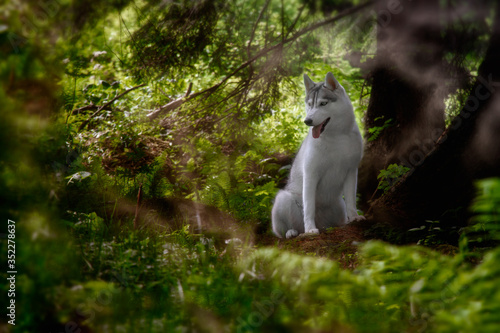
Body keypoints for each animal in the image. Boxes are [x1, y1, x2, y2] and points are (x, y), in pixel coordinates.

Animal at [274, 71, 364, 237]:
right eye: (310, 104)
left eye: (323, 104)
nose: (307, 121)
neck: (336, 136)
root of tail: (323, 225)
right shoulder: (311, 174)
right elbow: (309, 206)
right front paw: (310, 229)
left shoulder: (351, 171)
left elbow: (351, 200)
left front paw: (354, 217)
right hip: (283, 199)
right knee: (283, 231)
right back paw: (291, 232)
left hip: (338, 207)